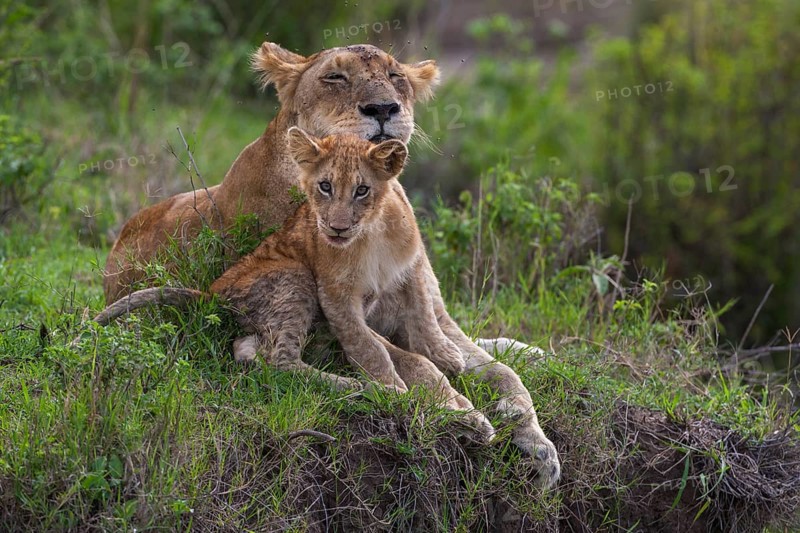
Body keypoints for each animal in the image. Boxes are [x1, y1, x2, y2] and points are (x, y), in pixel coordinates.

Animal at [100, 41, 560, 487]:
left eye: (395, 76)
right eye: (336, 77)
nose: (383, 109)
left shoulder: (434, 315)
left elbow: (502, 373)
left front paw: (539, 448)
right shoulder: (336, 323)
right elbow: (406, 361)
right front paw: (460, 412)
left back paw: (533, 352)